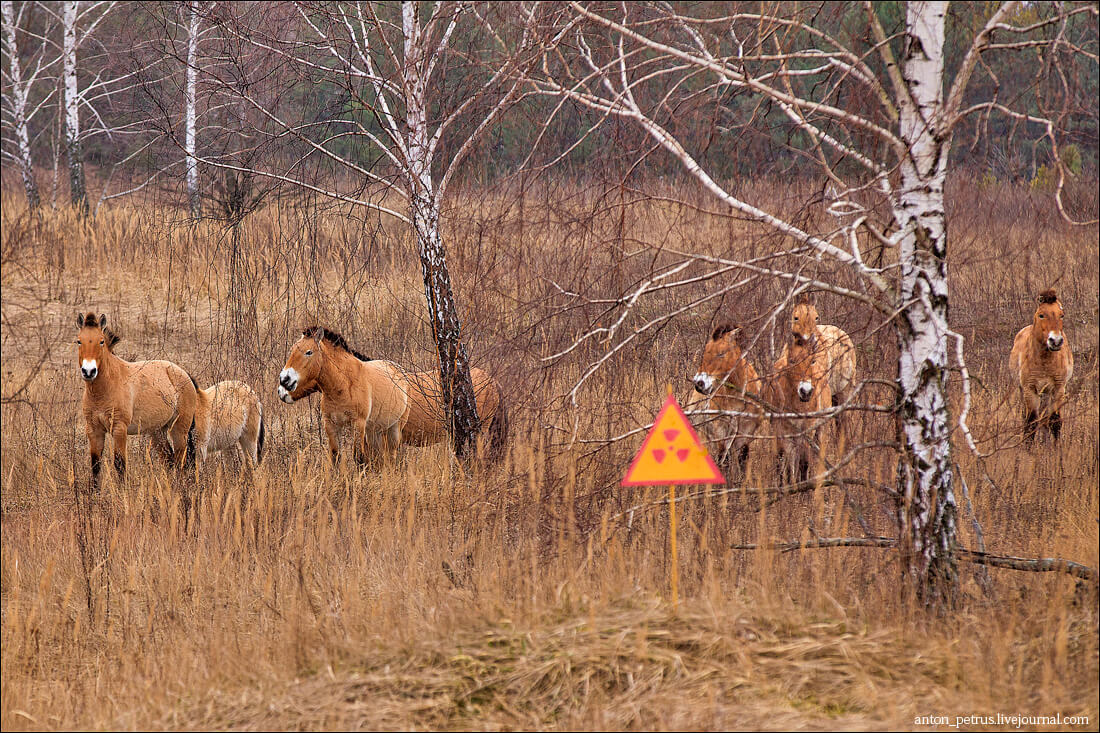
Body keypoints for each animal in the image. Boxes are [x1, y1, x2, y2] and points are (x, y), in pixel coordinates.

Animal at [74, 310, 199, 484]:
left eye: (101, 341)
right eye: (79, 341)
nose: (89, 371)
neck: (103, 391)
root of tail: (185, 374)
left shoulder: (119, 429)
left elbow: (120, 464)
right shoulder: (94, 430)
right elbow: (95, 466)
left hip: (180, 429)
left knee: (181, 461)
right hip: (158, 432)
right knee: (169, 460)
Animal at [686, 323, 765, 477]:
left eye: (721, 353)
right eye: (705, 352)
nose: (699, 384)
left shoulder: (746, 432)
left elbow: (742, 459)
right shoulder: (721, 430)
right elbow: (724, 459)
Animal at [770, 334, 827, 482]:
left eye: (812, 361)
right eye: (792, 361)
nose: (805, 392)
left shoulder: (808, 430)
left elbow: (804, 462)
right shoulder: (783, 430)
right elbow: (787, 464)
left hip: (820, 429)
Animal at [1007, 290, 1069, 442]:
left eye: (1061, 315)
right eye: (1041, 315)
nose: (1055, 341)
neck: (1045, 362)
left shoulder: (1058, 389)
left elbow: (1055, 422)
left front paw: (1057, 448)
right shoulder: (1030, 389)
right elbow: (1030, 423)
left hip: (1046, 393)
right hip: (1024, 390)